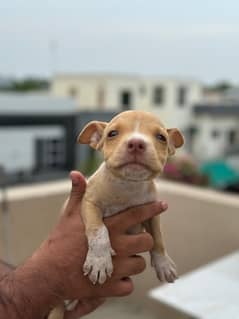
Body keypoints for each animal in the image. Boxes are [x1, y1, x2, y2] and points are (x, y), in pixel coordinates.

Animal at [48, 110, 183, 319]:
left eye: (161, 137)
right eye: (112, 133)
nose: (136, 143)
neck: (127, 186)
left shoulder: (152, 212)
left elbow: (158, 238)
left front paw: (163, 264)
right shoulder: (89, 204)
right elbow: (99, 230)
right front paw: (99, 261)